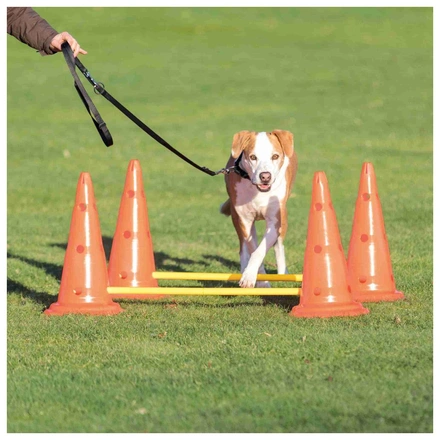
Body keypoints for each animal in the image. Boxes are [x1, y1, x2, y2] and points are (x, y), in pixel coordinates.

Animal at [220, 131, 300, 288]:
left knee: (279, 245)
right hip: (236, 218)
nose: (265, 176)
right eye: (253, 157)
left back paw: (283, 274)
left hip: (283, 218)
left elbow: (260, 250)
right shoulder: (245, 220)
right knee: (243, 247)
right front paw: (258, 280)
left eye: (275, 156)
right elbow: (254, 249)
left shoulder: (274, 221)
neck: (257, 191)